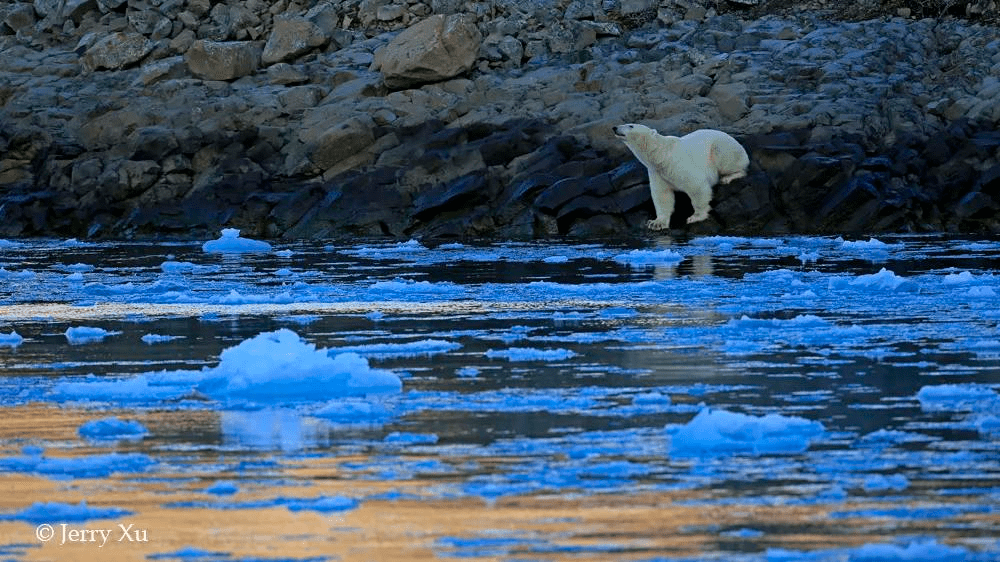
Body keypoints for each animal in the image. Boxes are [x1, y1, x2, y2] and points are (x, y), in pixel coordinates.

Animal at [608, 123, 752, 229]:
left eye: (631, 125)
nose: (615, 127)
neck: (661, 155)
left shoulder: (678, 164)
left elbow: (697, 187)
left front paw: (695, 217)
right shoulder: (657, 173)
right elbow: (662, 195)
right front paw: (656, 223)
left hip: (723, 147)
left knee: (729, 161)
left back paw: (728, 177)